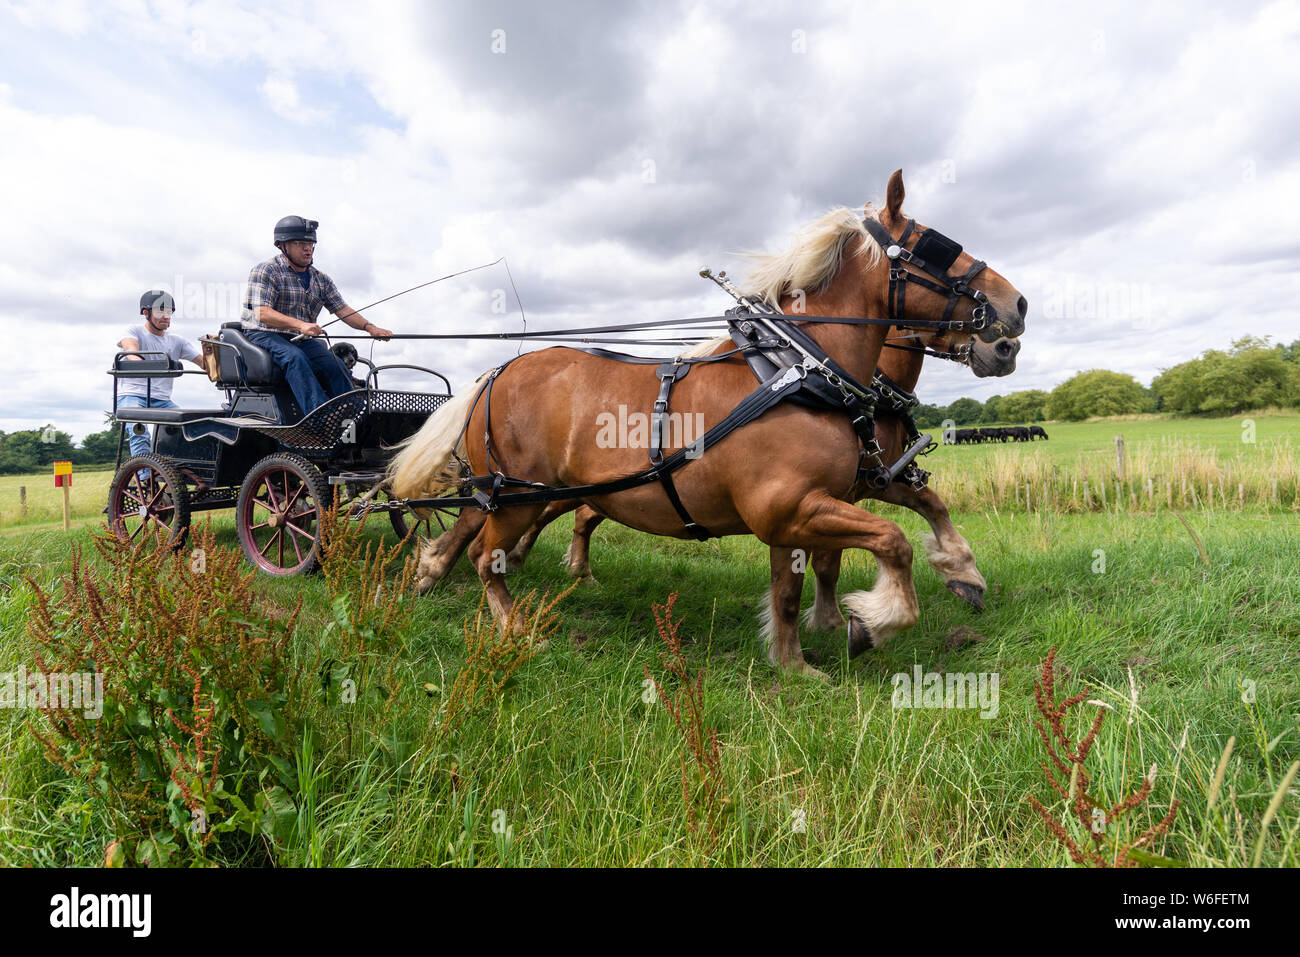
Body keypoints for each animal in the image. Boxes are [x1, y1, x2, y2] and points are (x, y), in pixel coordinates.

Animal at [389, 170, 1026, 676]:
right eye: (936, 245)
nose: (1015, 311)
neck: (801, 369)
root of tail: (496, 371)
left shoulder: (813, 504)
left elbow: (806, 578)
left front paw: (798, 660)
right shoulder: (791, 505)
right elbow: (892, 542)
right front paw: (872, 620)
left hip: (505, 493)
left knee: (471, 533)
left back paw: (428, 573)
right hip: (521, 495)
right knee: (487, 556)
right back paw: (515, 628)